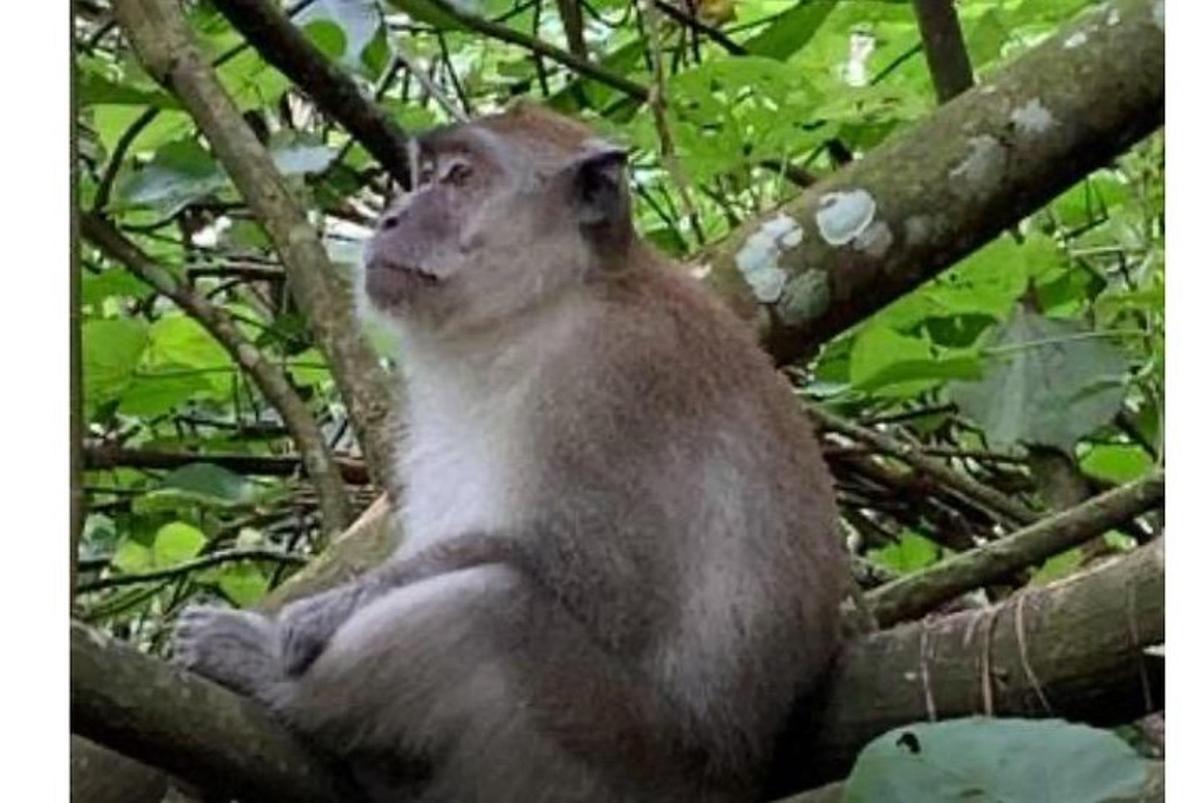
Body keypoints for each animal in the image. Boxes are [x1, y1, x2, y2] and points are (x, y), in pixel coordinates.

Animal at [174, 103, 849, 796]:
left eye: (461, 177)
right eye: (426, 174)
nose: (391, 217)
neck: (541, 306)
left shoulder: (610, 373)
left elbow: (593, 578)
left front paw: (311, 619)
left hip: (613, 751)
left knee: (484, 609)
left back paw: (272, 677)